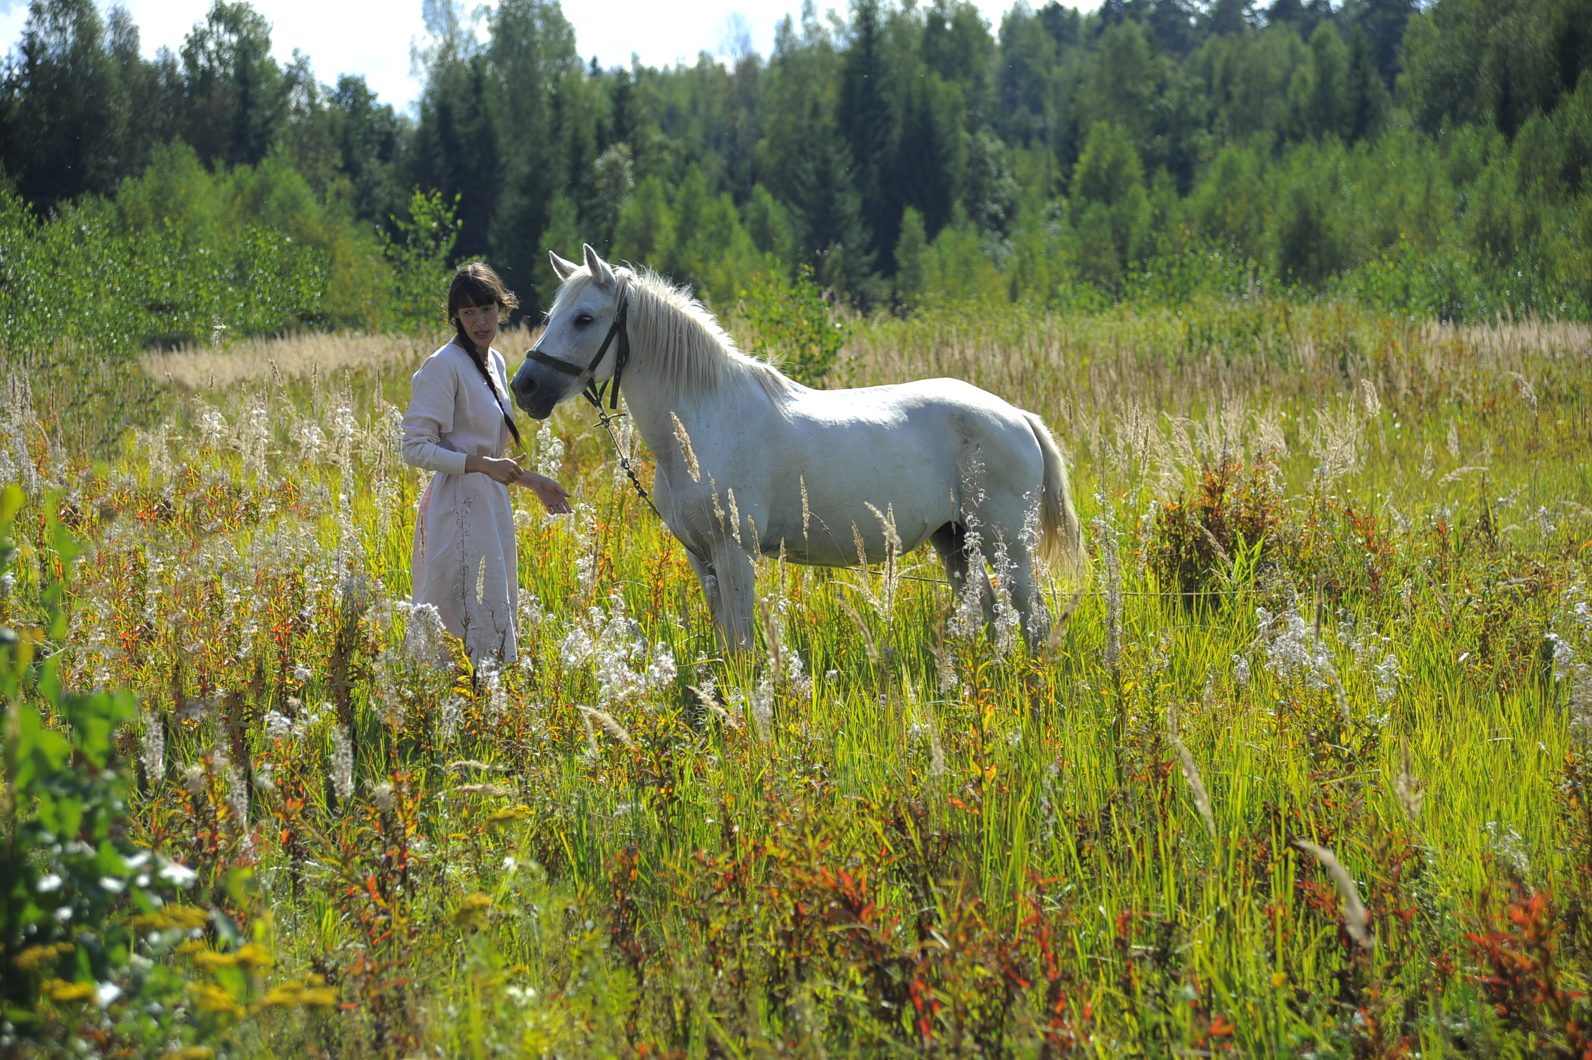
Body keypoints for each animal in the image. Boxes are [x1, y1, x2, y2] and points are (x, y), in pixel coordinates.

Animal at [509, 243, 1082, 649]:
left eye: (584, 318)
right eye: (552, 315)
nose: (525, 387)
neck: (703, 422)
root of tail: (1018, 417)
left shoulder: (734, 553)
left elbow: (743, 644)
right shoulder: (702, 559)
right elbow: (727, 643)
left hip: (1009, 544)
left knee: (1031, 619)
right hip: (957, 540)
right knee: (989, 613)